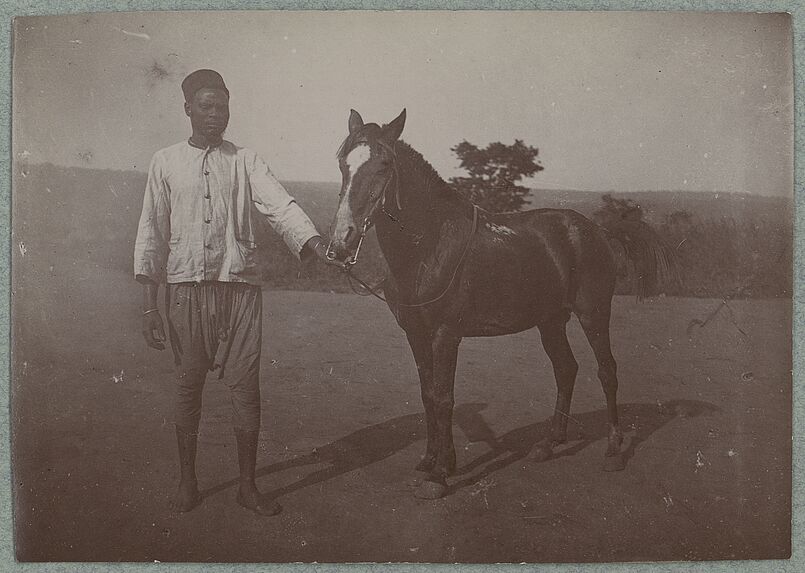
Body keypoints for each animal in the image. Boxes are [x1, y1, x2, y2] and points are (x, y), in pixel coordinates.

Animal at [324, 109, 676, 498]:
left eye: (384, 165)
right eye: (343, 163)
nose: (341, 241)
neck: (429, 245)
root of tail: (597, 231)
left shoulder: (446, 335)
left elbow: (444, 398)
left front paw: (440, 475)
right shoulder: (416, 334)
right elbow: (428, 395)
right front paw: (431, 460)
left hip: (594, 314)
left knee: (607, 372)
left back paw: (613, 451)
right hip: (551, 321)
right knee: (566, 369)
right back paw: (548, 444)